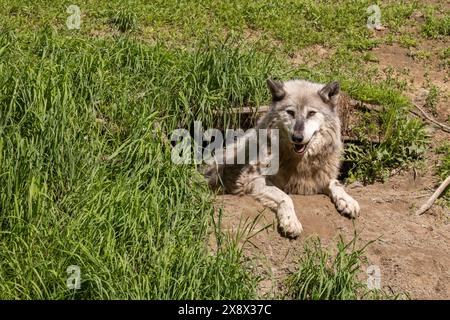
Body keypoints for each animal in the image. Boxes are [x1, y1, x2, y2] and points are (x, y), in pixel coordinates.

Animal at [206, 78, 360, 238]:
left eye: (311, 113)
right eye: (290, 112)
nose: (297, 137)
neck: (298, 162)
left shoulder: (318, 180)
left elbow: (336, 183)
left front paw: (347, 200)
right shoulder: (255, 181)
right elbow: (285, 197)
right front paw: (290, 221)